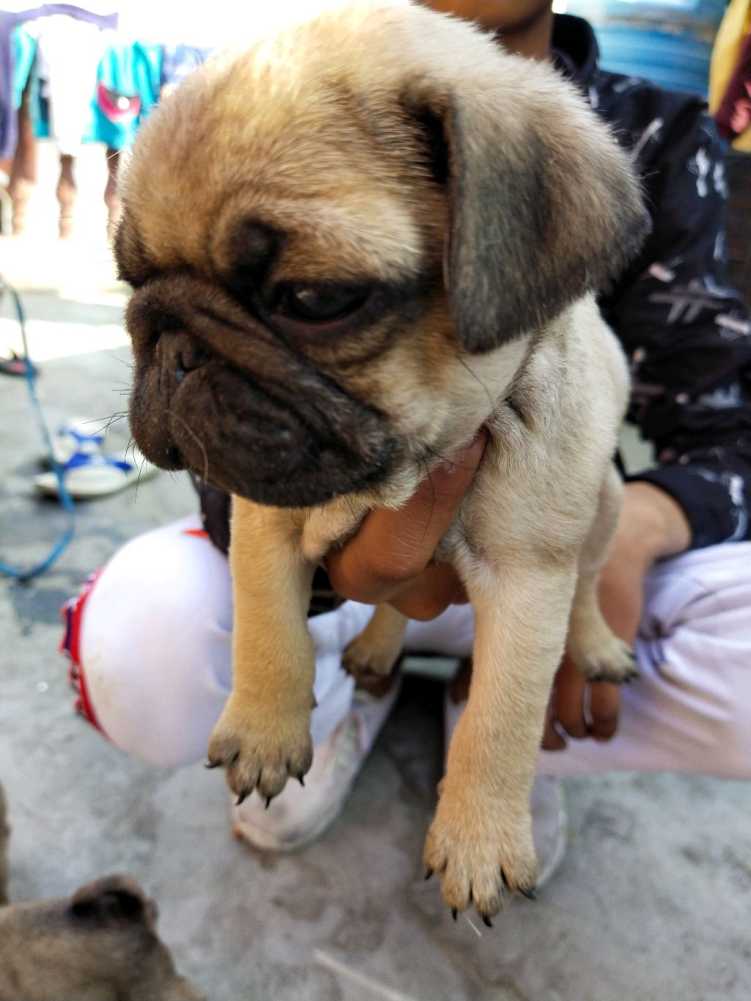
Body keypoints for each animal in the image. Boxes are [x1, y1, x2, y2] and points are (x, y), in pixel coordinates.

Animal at [116, 0, 649, 922]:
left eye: (312, 299)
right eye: (128, 279)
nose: (173, 346)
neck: (400, 468)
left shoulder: (526, 577)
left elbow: (500, 717)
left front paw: (478, 839)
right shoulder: (262, 513)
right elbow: (267, 629)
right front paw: (263, 730)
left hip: (606, 503)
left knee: (586, 584)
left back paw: (594, 643)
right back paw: (373, 646)